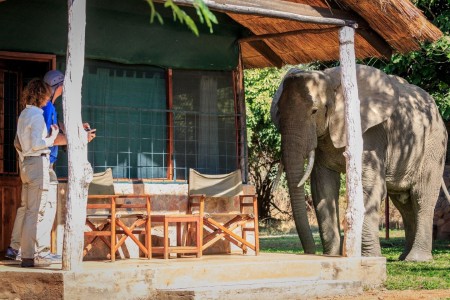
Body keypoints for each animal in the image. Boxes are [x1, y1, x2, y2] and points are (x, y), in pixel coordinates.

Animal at [272, 64, 448, 262]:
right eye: (278, 113)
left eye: (314, 111)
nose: (310, 253)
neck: (331, 81)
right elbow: (324, 186)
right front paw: (332, 256)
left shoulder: (370, 132)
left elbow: (368, 185)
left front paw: (369, 258)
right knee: (403, 202)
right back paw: (404, 257)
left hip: (434, 145)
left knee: (421, 195)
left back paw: (416, 259)